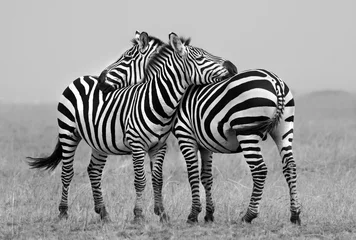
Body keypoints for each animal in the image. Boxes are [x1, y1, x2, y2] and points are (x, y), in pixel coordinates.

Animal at [27, 31, 234, 223]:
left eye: (126, 58)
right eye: (201, 58)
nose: (232, 68)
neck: (156, 101)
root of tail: (80, 78)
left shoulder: (159, 147)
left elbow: (157, 179)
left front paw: (162, 214)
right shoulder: (137, 145)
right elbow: (140, 180)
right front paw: (139, 215)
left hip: (99, 141)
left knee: (94, 171)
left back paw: (104, 213)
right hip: (68, 132)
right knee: (67, 172)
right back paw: (63, 212)